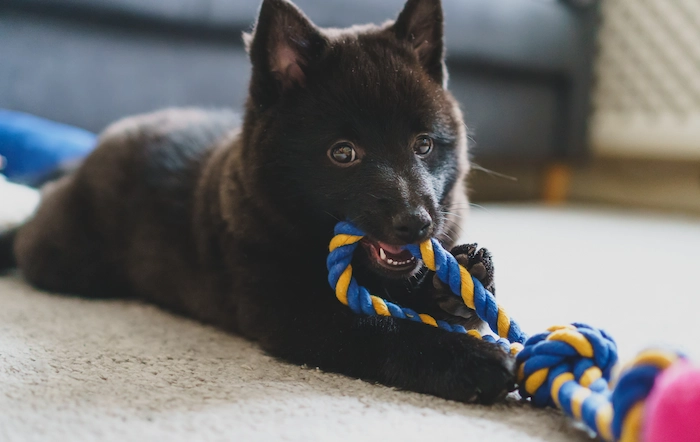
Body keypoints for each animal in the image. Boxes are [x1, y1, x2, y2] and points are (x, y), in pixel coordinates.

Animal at [0, 0, 516, 404]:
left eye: (423, 145)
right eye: (343, 153)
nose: (417, 223)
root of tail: (89, 155)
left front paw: (457, 280)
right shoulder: (295, 312)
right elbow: (381, 331)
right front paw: (472, 360)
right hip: (66, 259)